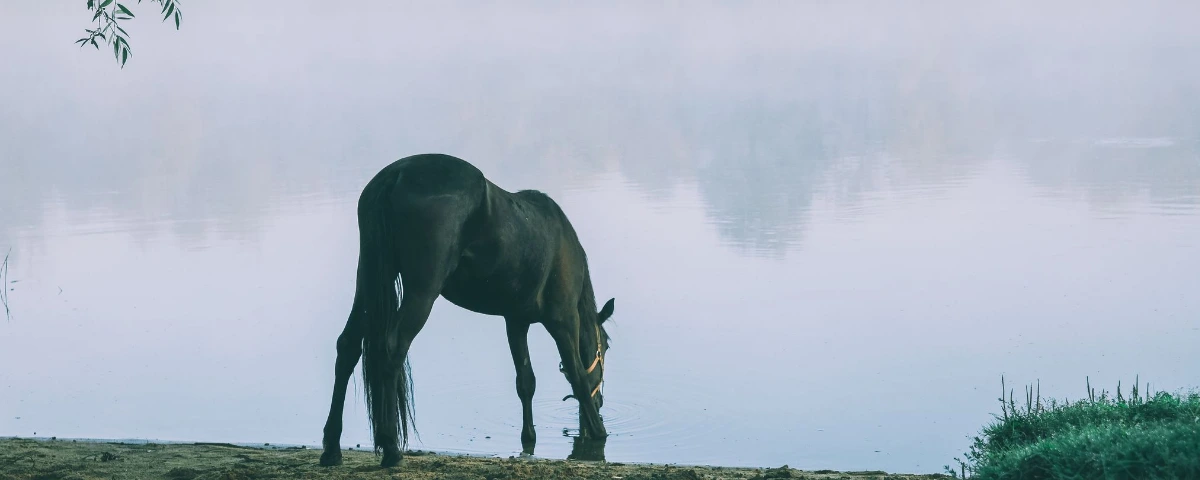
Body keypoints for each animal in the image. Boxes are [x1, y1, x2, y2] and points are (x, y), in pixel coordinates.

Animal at [318, 153, 616, 468]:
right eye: (606, 347)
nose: (600, 401)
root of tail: (396, 175)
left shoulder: (516, 321)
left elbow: (526, 382)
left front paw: (529, 438)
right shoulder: (564, 320)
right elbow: (578, 375)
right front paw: (599, 432)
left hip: (371, 279)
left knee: (348, 346)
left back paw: (332, 448)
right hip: (422, 291)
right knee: (392, 347)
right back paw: (390, 448)